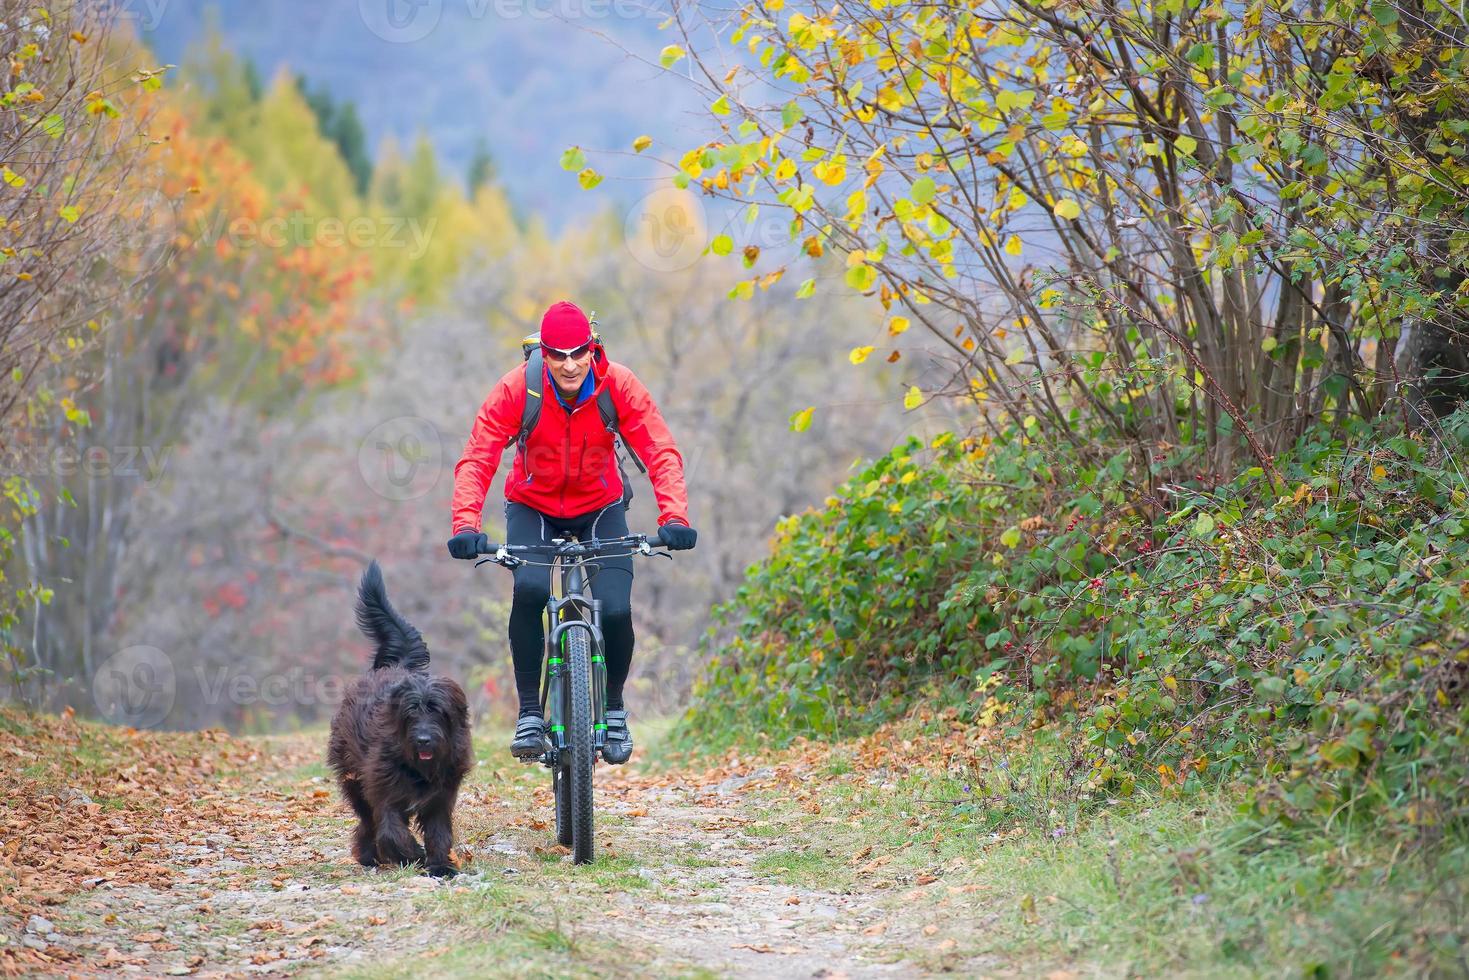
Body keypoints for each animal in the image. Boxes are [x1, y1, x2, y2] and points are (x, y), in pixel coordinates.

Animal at [330, 564, 473, 875]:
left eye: (438, 711)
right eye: (411, 713)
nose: (423, 739)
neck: (418, 769)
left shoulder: (442, 796)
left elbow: (438, 831)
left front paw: (440, 865)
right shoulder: (384, 790)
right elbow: (391, 829)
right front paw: (413, 854)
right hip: (353, 777)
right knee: (368, 820)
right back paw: (368, 855)